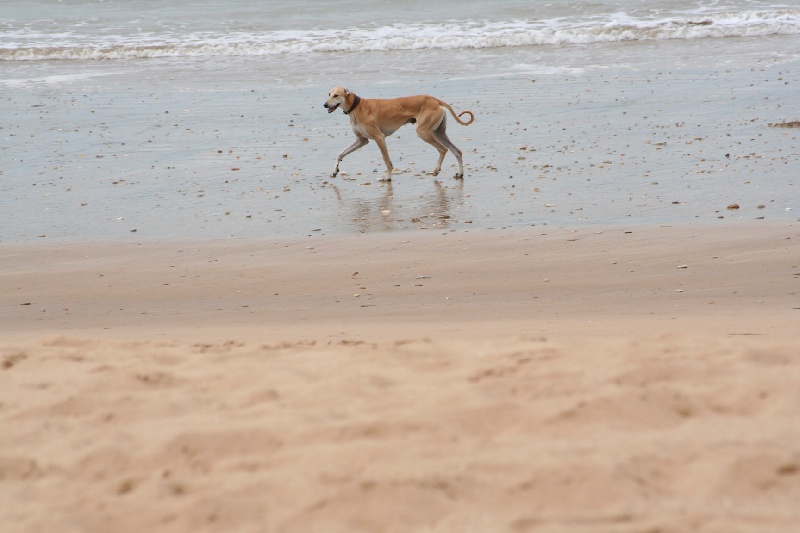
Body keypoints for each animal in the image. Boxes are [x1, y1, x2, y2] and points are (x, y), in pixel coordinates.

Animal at [324, 85, 472, 181]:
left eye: (336, 95)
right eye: (329, 94)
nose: (325, 105)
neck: (356, 107)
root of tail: (434, 100)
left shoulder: (379, 138)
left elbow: (387, 161)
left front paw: (387, 178)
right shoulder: (361, 141)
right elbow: (340, 154)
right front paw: (334, 171)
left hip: (423, 132)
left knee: (443, 149)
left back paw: (436, 170)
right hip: (438, 133)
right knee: (457, 151)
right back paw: (459, 173)